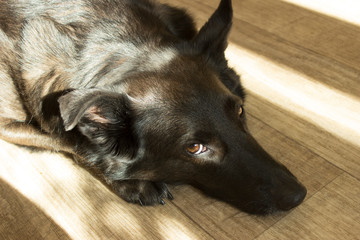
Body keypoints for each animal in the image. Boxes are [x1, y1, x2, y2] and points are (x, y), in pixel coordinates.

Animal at [0, 0, 306, 215]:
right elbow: (69, 140)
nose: (298, 195)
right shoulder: (7, 124)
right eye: (194, 148)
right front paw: (133, 181)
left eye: (240, 111)